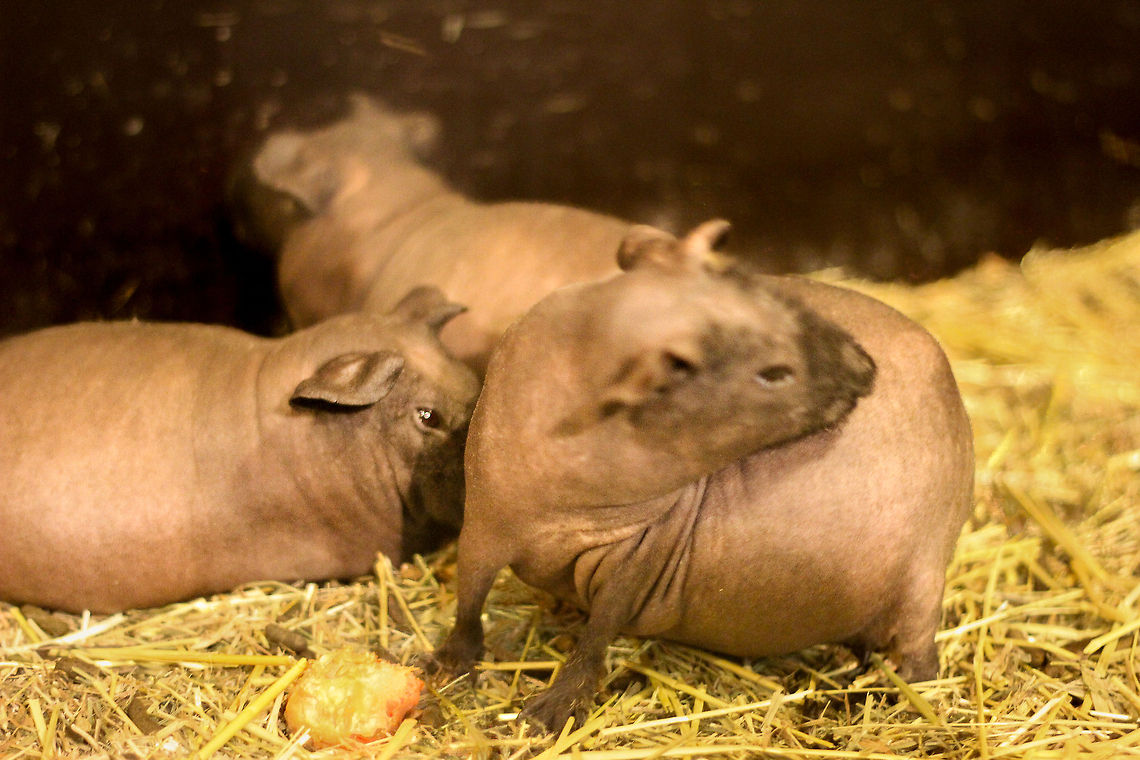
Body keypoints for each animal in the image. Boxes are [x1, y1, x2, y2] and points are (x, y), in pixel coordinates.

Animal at [430, 221, 974, 730]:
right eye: (774, 373)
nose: (866, 367)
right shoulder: (483, 524)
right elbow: (468, 600)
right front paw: (449, 667)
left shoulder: (639, 556)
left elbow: (596, 634)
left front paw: (551, 711)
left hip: (924, 570)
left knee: (922, 653)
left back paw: (905, 699)